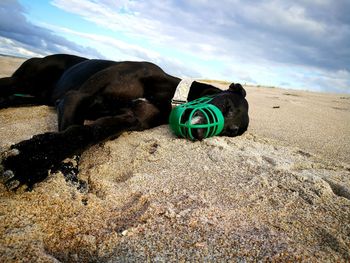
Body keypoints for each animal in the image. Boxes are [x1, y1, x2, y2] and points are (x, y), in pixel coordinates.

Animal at [0, 53, 249, 190]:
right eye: (227, 106)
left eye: (232, 131)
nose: (199, 134)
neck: (167, 92)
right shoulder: (77, 97)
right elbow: (74, 135)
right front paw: (29, 160)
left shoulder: (129, 119)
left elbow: (87, 134)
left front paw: (33, 161)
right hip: (21, 81)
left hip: (33, 96)